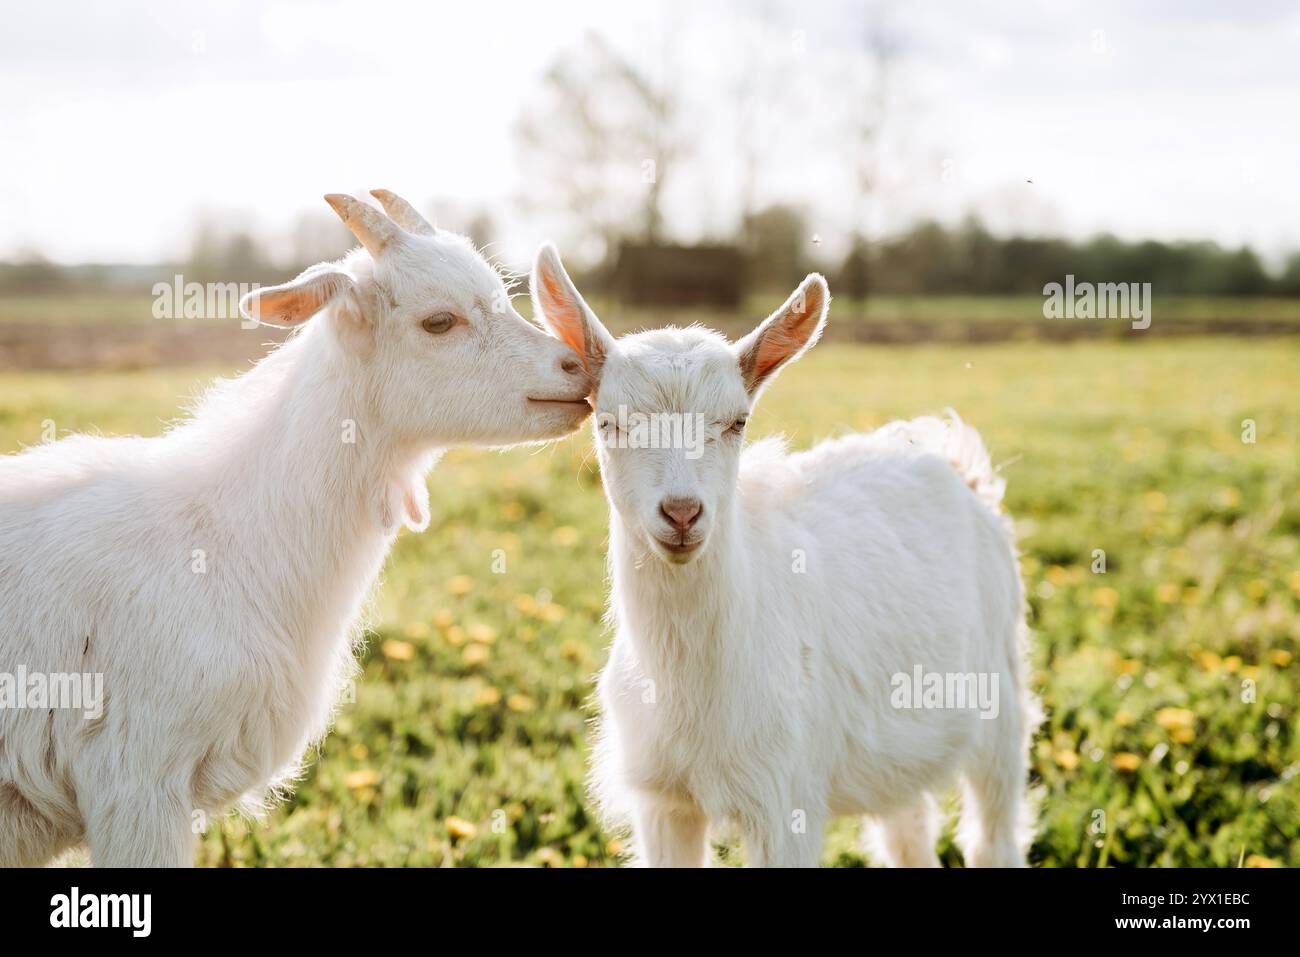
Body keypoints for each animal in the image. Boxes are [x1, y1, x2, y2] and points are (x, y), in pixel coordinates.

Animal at [533, 244, 1040, 868]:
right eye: (609, 423)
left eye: (737, 422)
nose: (682, 513)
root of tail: (954, 462)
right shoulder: (663, 799)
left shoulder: (785, 795)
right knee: (909, 827)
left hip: (1002, 702)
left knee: (994, 829)